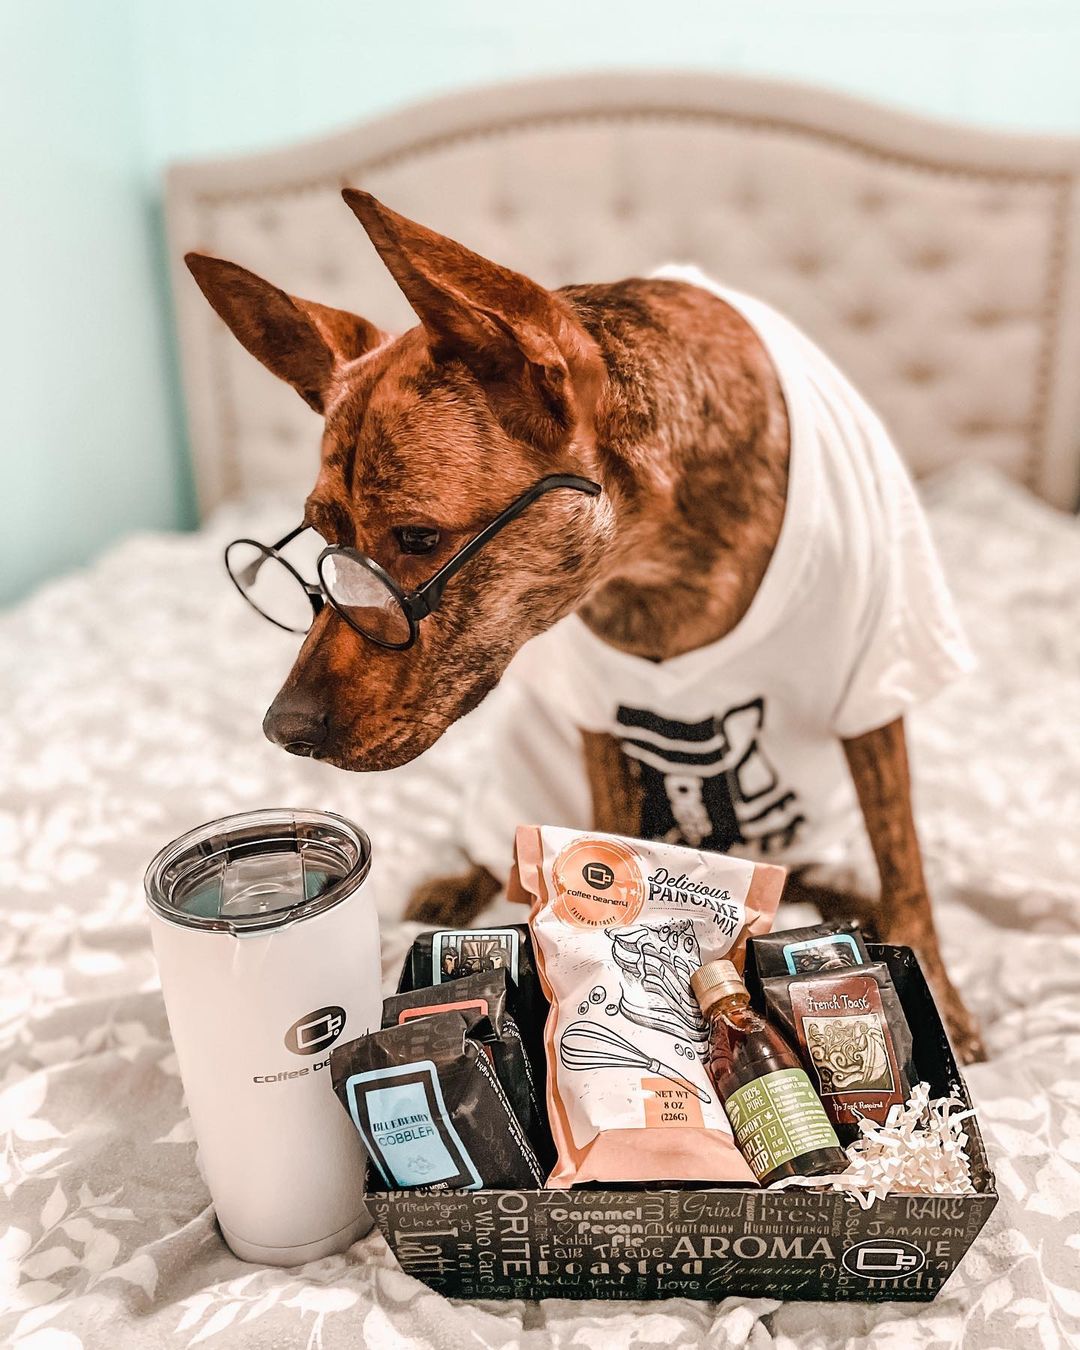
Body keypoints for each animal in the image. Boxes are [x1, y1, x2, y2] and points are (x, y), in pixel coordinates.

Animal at [187, 190, 988, 1063]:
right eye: (322, 540)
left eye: (419, 539)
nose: (283, 729)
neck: (661, 548)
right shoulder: (599, 717)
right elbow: (607, 832)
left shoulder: (878, 681)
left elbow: (901, 850)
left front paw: (941, 994)